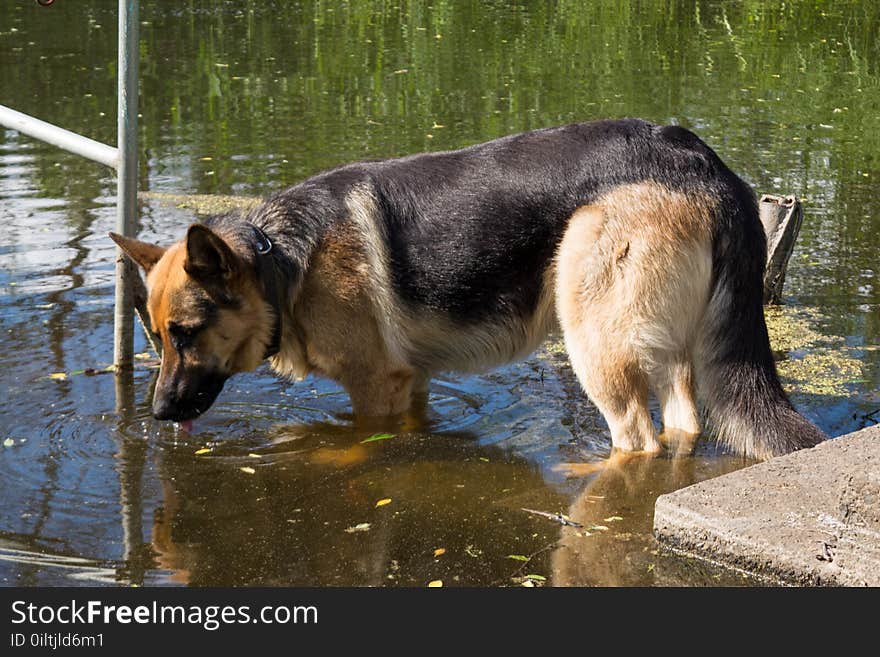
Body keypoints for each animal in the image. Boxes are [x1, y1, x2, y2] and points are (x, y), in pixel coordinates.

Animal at [110, 119, 824, 456]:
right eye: (156, 336)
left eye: (186, 334)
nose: (157, 416)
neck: (281, 261)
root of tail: (700, 158)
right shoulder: (412, 383)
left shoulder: (375, 389)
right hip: (667, 350)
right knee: (681, 427)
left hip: (594, 342)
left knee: (637, 438)